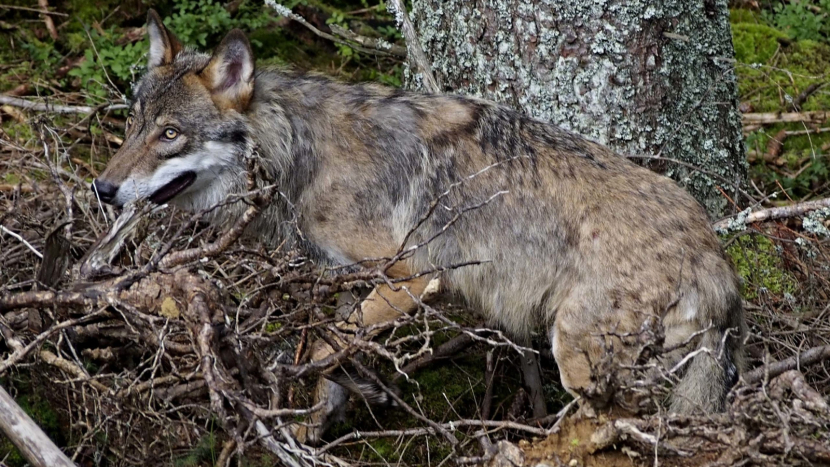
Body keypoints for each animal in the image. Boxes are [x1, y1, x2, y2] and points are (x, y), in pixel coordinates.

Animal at [94, 10, 752, 442]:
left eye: (170, 135)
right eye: (133, 125)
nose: (102, 189)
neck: (297, 152)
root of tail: (717, 263)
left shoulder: (412, 276)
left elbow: (322, 349)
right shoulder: (356, 284)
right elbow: (333, 357)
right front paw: (311, 427)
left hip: (576, 354)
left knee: (620, 424)